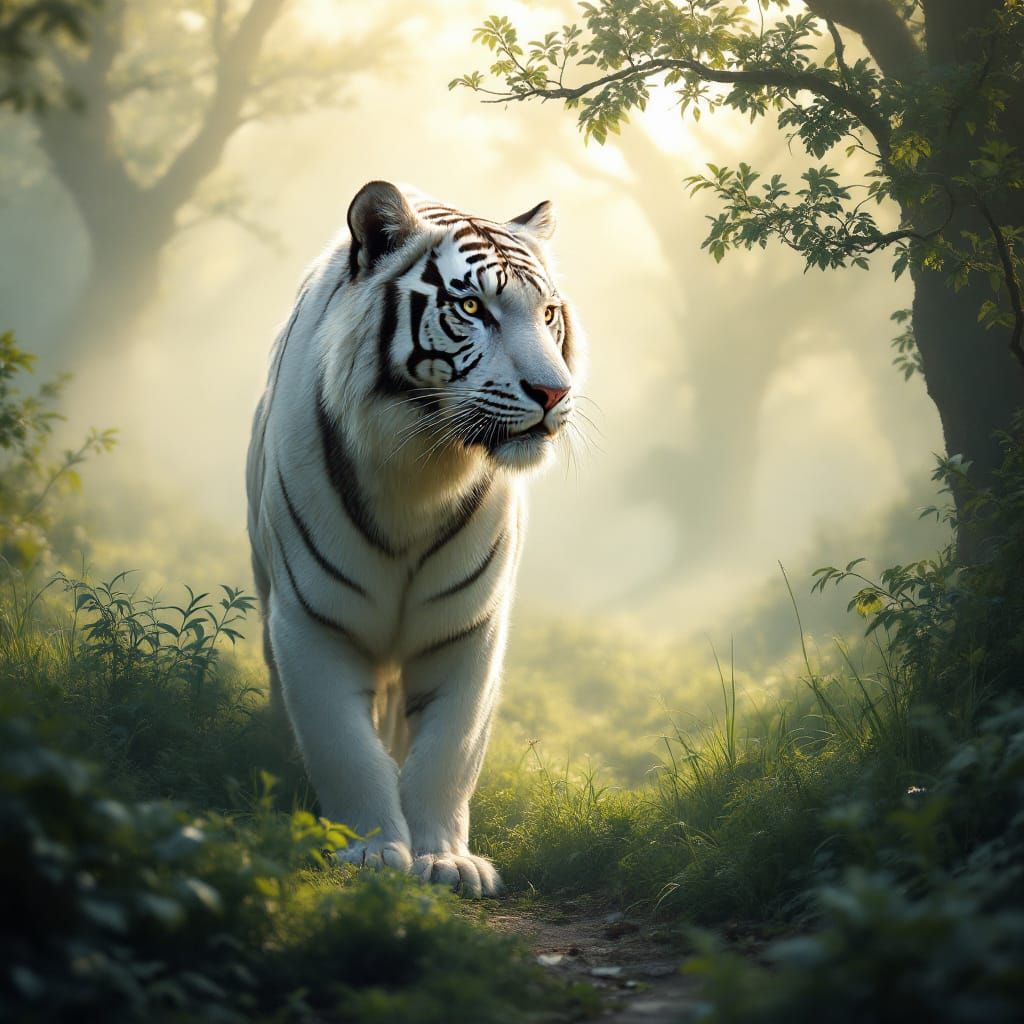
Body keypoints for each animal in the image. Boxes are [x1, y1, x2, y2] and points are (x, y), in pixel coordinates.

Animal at [246, 180, 584, 897]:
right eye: (471, 306)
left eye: (547, 314)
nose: (553, 392)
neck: (424, 465)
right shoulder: (312, 620)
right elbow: (344, 745)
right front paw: (371, 850)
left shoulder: (469, 626)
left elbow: (447, 752)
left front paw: (446, 861)